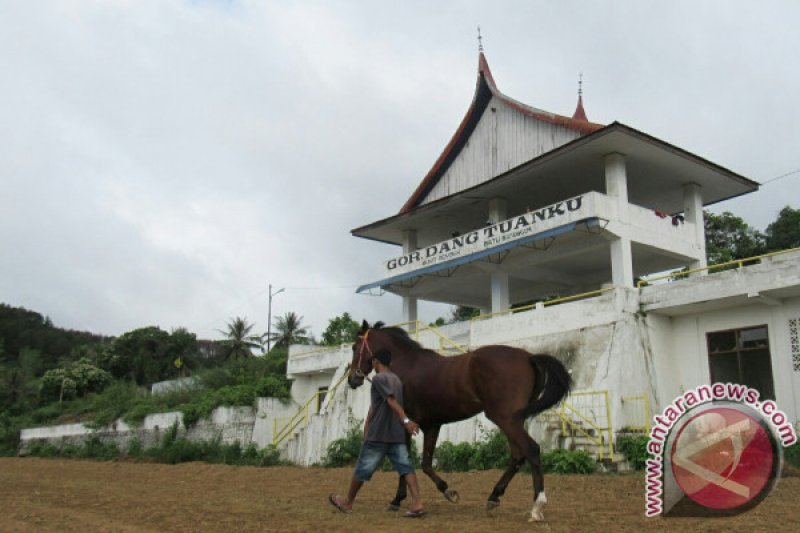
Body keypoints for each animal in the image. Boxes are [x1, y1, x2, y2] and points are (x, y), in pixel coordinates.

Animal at [346, 320, 572, 520]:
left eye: (354, 347)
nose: (352, 379)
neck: (407, 366)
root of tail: (529, 357)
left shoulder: (407, 425)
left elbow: (406, 462)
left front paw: (397, 500)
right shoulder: (432, 425)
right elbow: (425, 463)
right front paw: (447, 491)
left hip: (505, 419)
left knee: (531, 450)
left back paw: (537, 506)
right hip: (512, 421)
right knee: (518, 456)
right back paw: (494, 497)